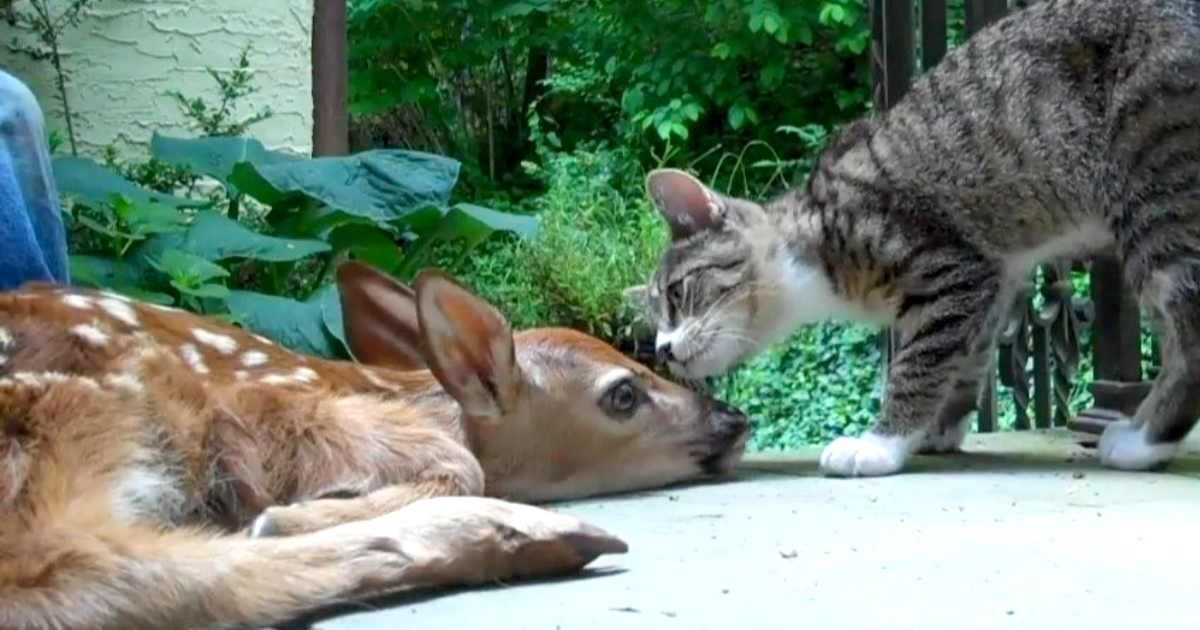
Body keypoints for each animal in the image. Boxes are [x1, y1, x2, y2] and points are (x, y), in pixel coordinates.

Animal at [628, 0, 1200, 477]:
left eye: (676, 294)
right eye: (654, 320)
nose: (663, 349)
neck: (814, 239)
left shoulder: (949, 266)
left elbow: (916, 363)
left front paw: (881, 442)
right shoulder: (996, 278)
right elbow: (965, 359)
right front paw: (937, 428)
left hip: (1155, 192)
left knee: (1188, 332)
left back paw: (1144, 440)